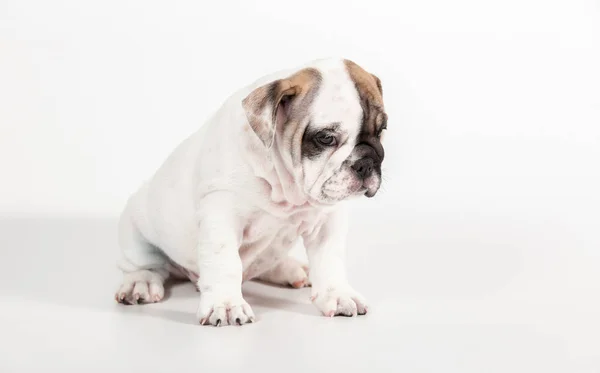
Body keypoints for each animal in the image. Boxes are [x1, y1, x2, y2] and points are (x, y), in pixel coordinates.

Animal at [116, 58, 390, 326]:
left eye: (381, 130)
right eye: (325, 138)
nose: (366, 163)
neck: (285, 186)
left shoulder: (327, 220)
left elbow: (329, 259)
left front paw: (339, 295)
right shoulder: (221, 214)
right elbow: (224, 261)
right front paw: (225, 304)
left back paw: (291, 269)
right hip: (135, 230)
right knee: (147, 265)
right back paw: (140, 283)